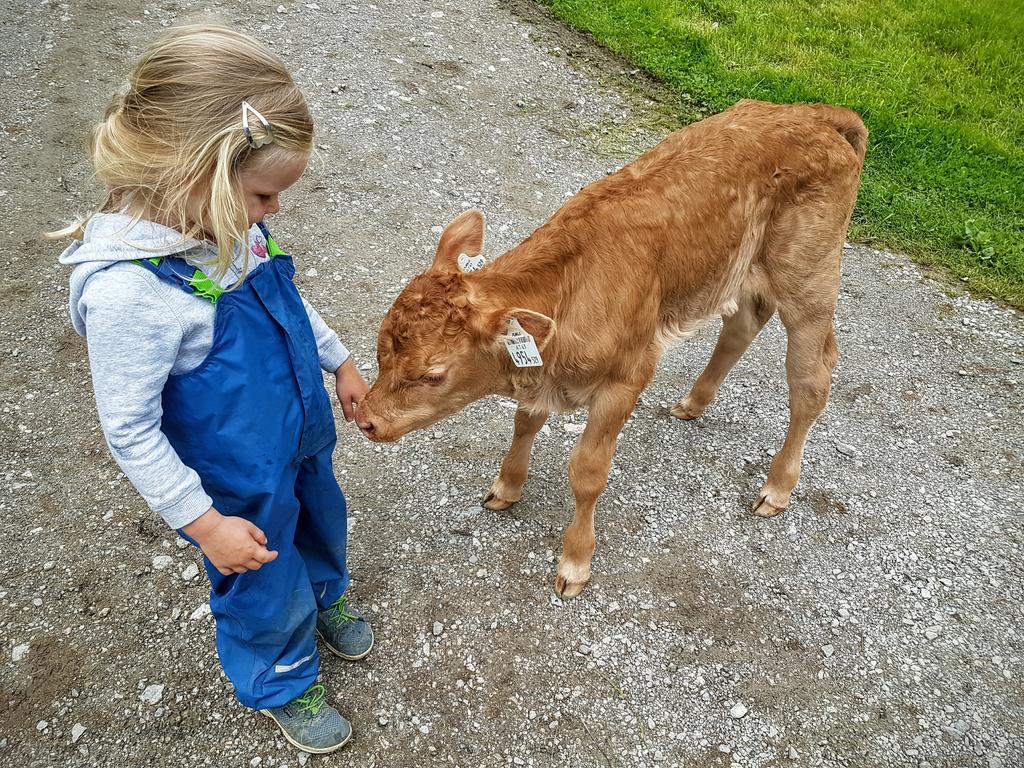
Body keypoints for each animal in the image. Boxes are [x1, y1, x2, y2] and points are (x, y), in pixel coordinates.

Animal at [356, 97, 868, 602]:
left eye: (432, 374)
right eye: (381, 348)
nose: (365, 419)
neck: (570, 289)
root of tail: (817, 114)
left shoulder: (627, 377)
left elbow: (587, 473)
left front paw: (575, 563)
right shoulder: (541, 371)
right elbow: (525, 422)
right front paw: (508, 485)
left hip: (810, 278)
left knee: (811, 379)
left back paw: (777, 487)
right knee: (741, 327)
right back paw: (693, 402)